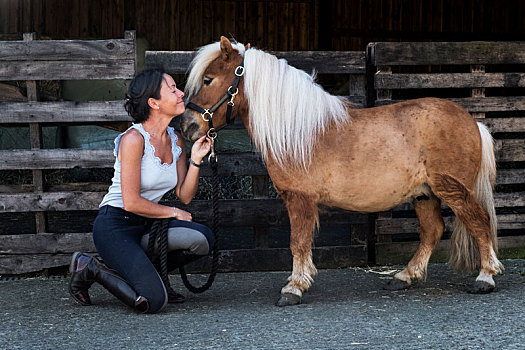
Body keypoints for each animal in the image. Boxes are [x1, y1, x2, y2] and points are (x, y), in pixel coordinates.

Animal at [180, 37, 504, 306]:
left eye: (208, 79)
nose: (186, 126)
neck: (298, 131)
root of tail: (473, 122)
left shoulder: (300, 199)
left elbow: (298, 242)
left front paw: (294, 288)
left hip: (453, 189)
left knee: (480, 222)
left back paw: (485, 277)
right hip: (424, 194)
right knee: (432, 231)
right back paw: (404, 277)